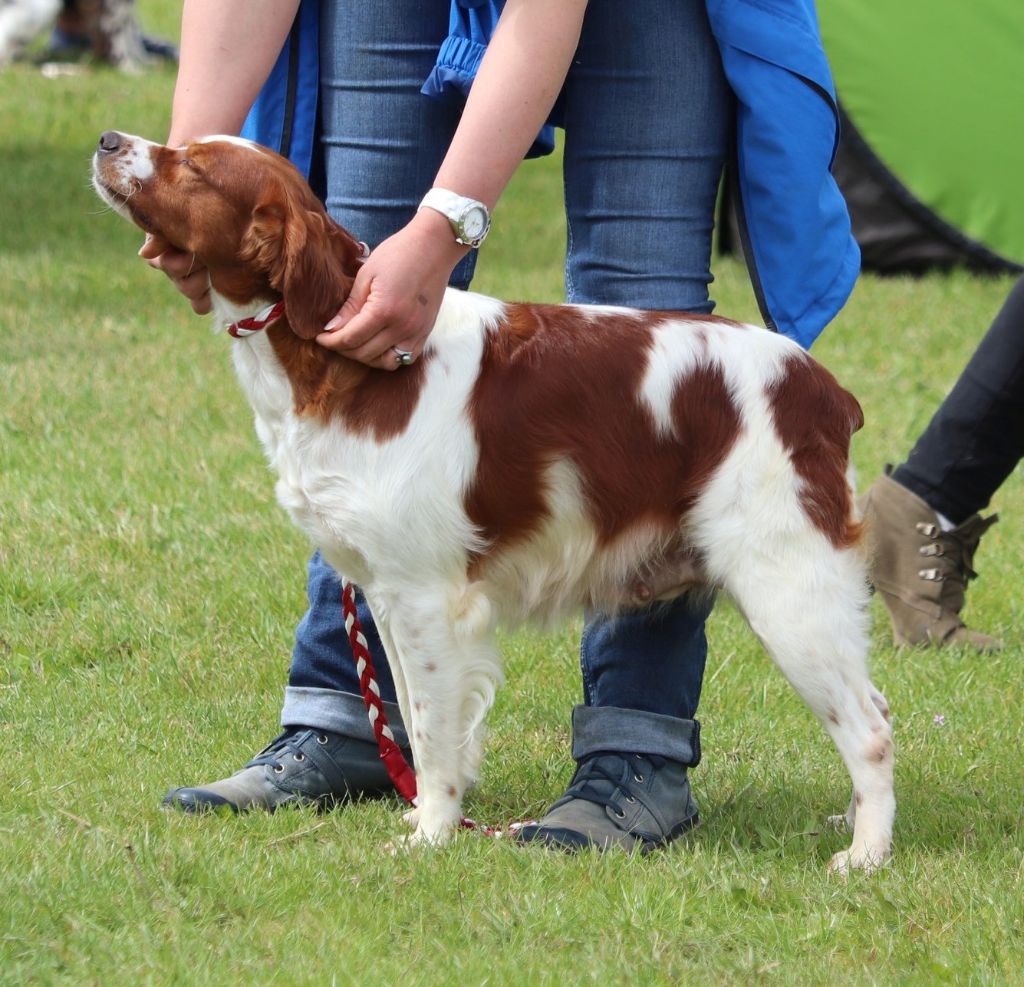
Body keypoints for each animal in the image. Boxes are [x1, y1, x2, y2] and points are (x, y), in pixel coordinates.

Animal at [96, 131, 897, 872]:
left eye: (194, 167)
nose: (108, 141)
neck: (336, 360)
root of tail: (821, 387)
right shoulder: (386, 592)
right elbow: (410, 717)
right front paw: (422, 814)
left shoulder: (428, 597)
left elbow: (435, 735)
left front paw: (430, 835)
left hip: (786, 585)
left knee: (870, 728)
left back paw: (865, 855)